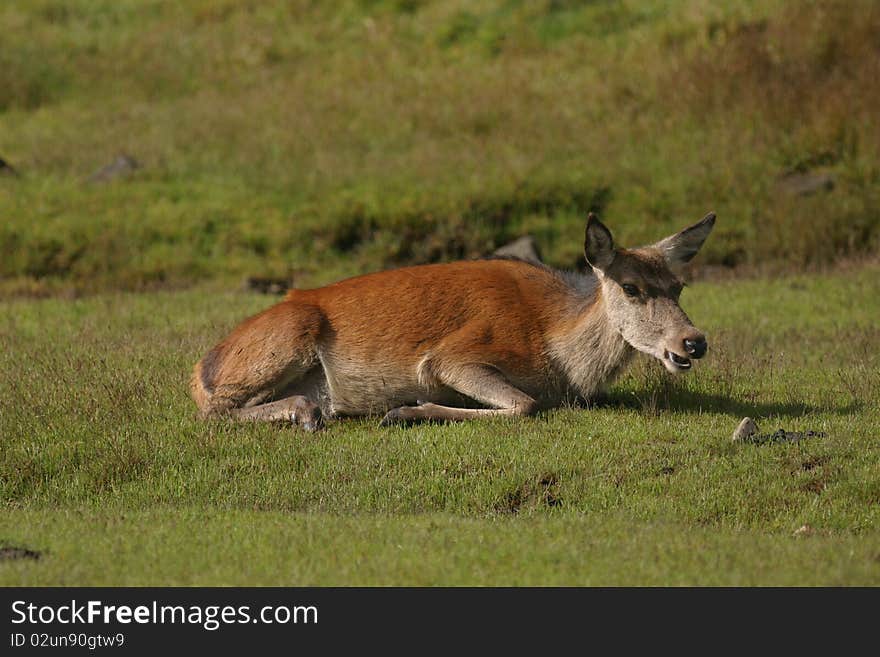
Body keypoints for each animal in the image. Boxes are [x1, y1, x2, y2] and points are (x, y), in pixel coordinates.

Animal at [192, 211, 716, 430]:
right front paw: (405, 411)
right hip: (286, 339)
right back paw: (307, 412)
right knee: (215, 409)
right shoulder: (453, 354)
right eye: (630, 287)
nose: (693, 342)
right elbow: (525, 404)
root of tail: (200, 368)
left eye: (678, 285)